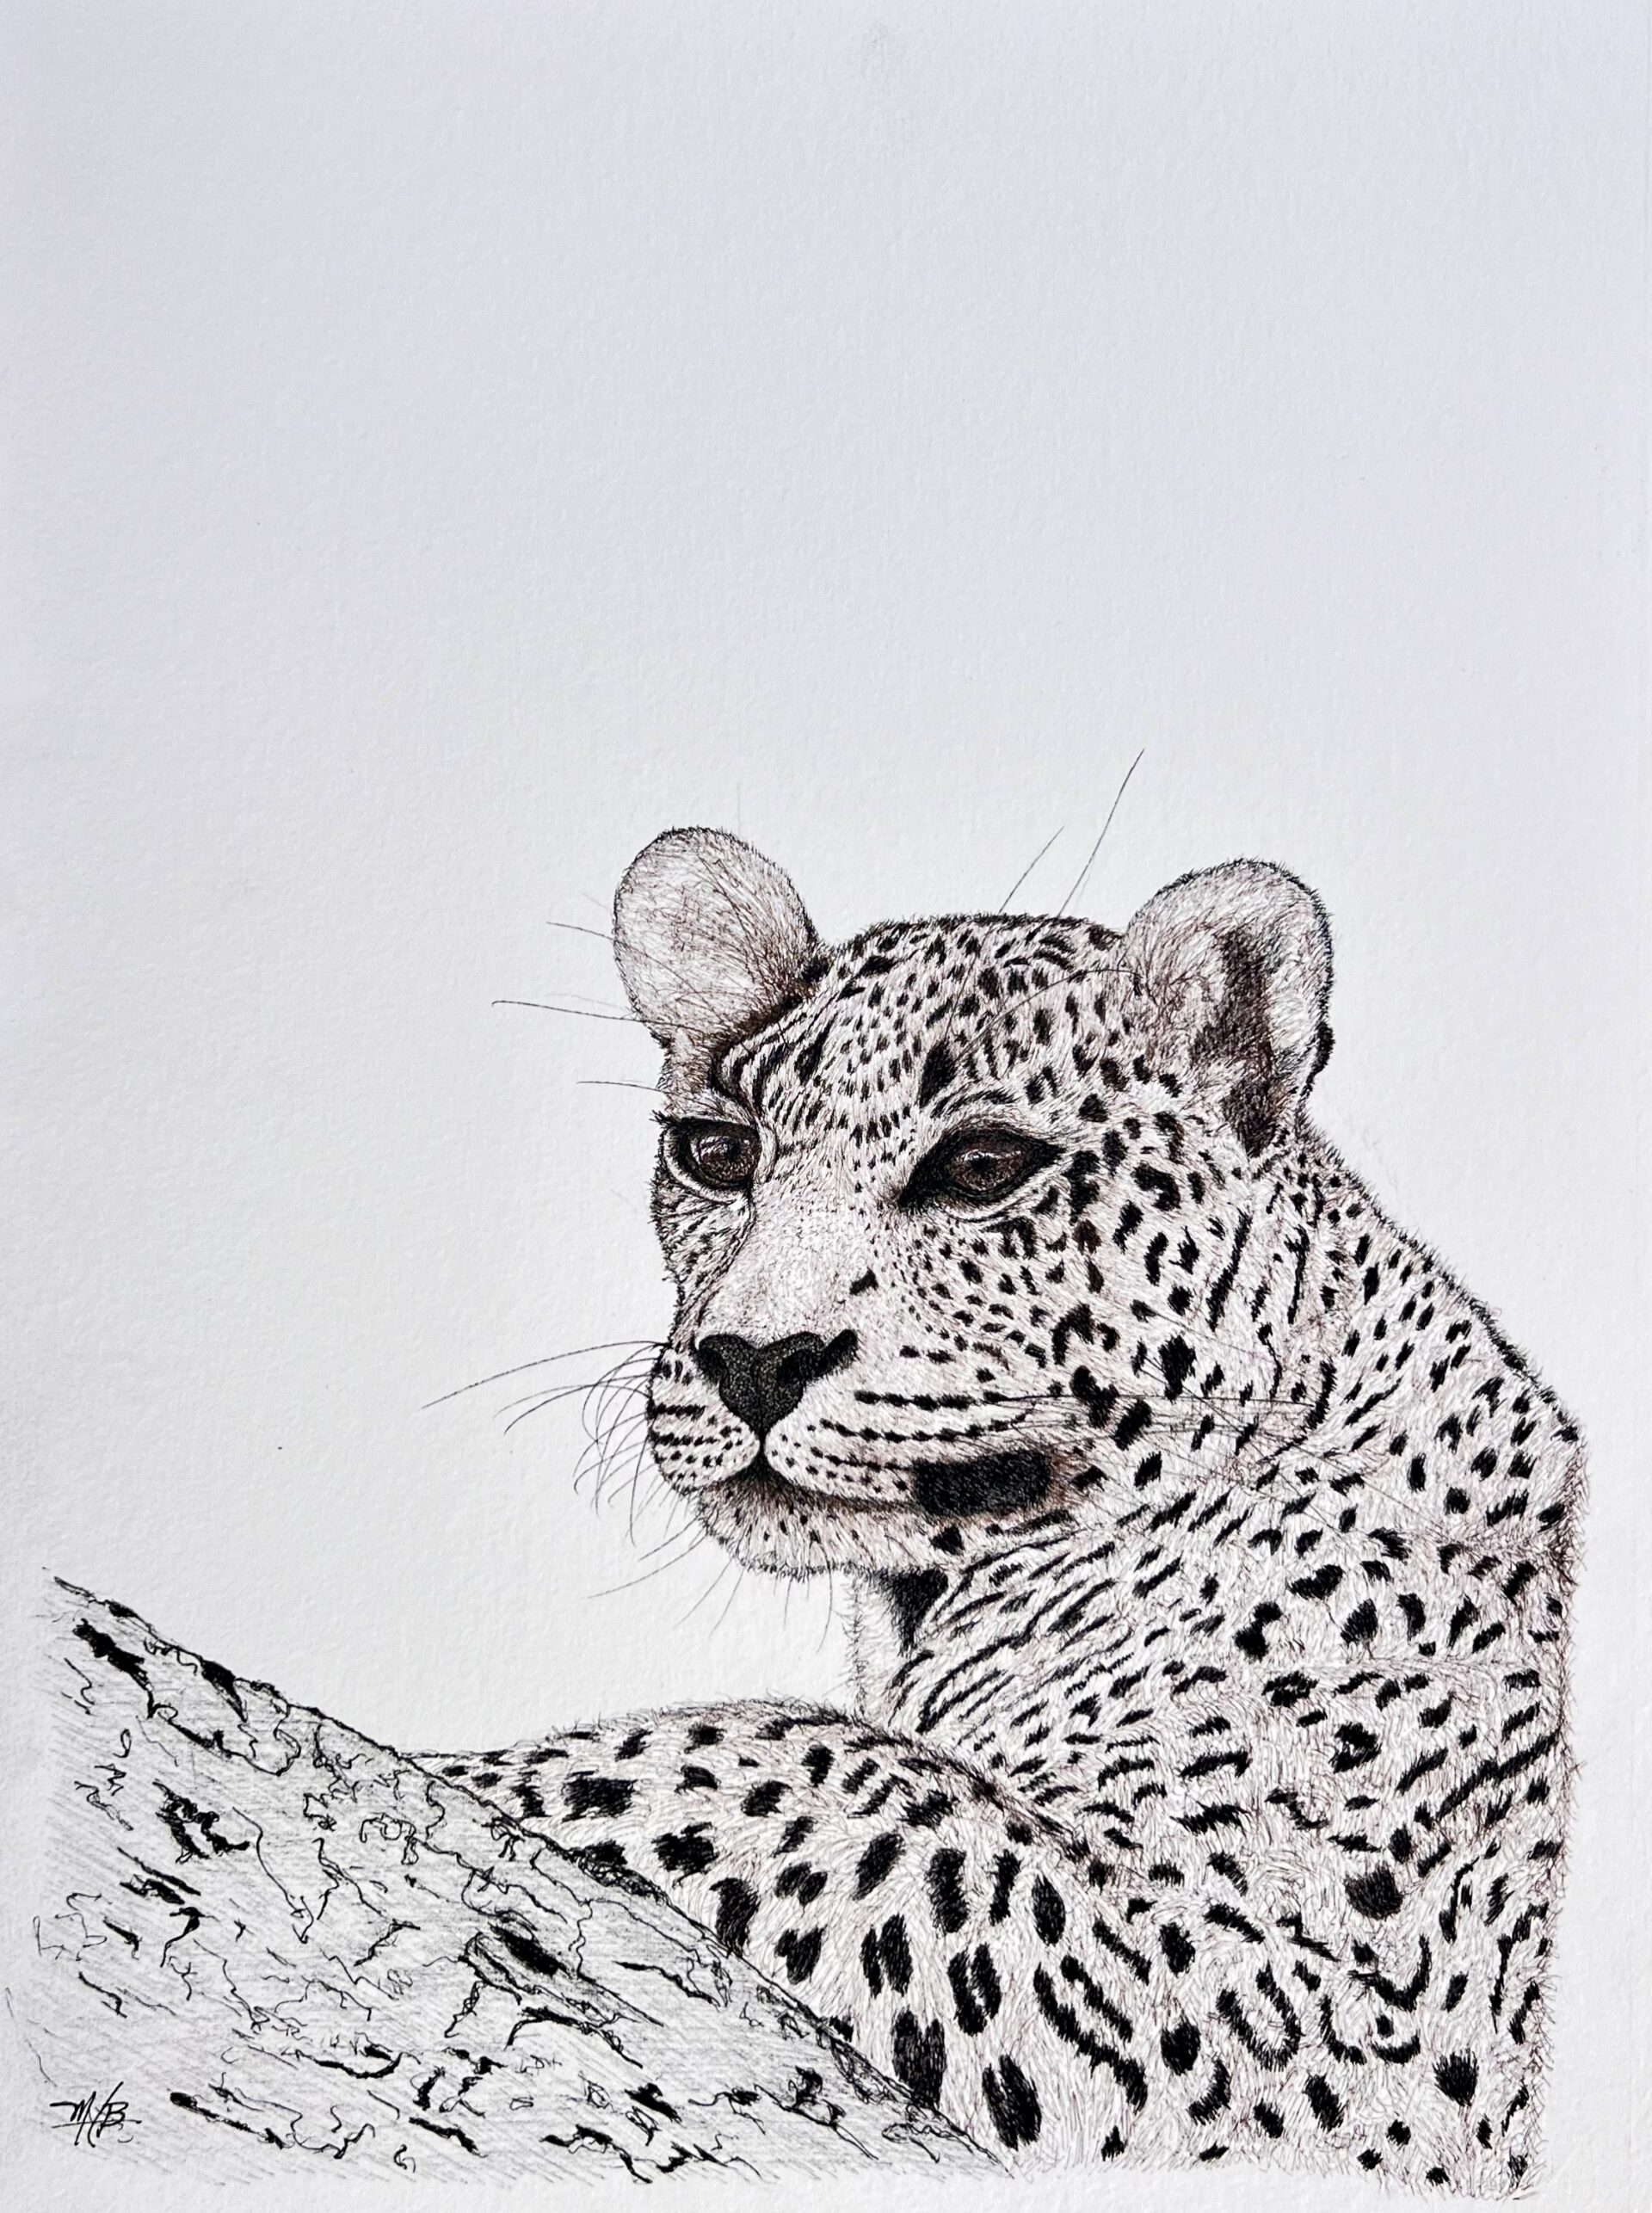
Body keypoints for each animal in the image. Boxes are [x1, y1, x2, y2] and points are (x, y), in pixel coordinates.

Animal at [424, 827, 1581, 2187]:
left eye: (982, 1169)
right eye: (716, 1154)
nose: (755, 1360)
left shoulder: (1303, 2029)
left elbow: (833, 1770)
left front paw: (488, 1778)